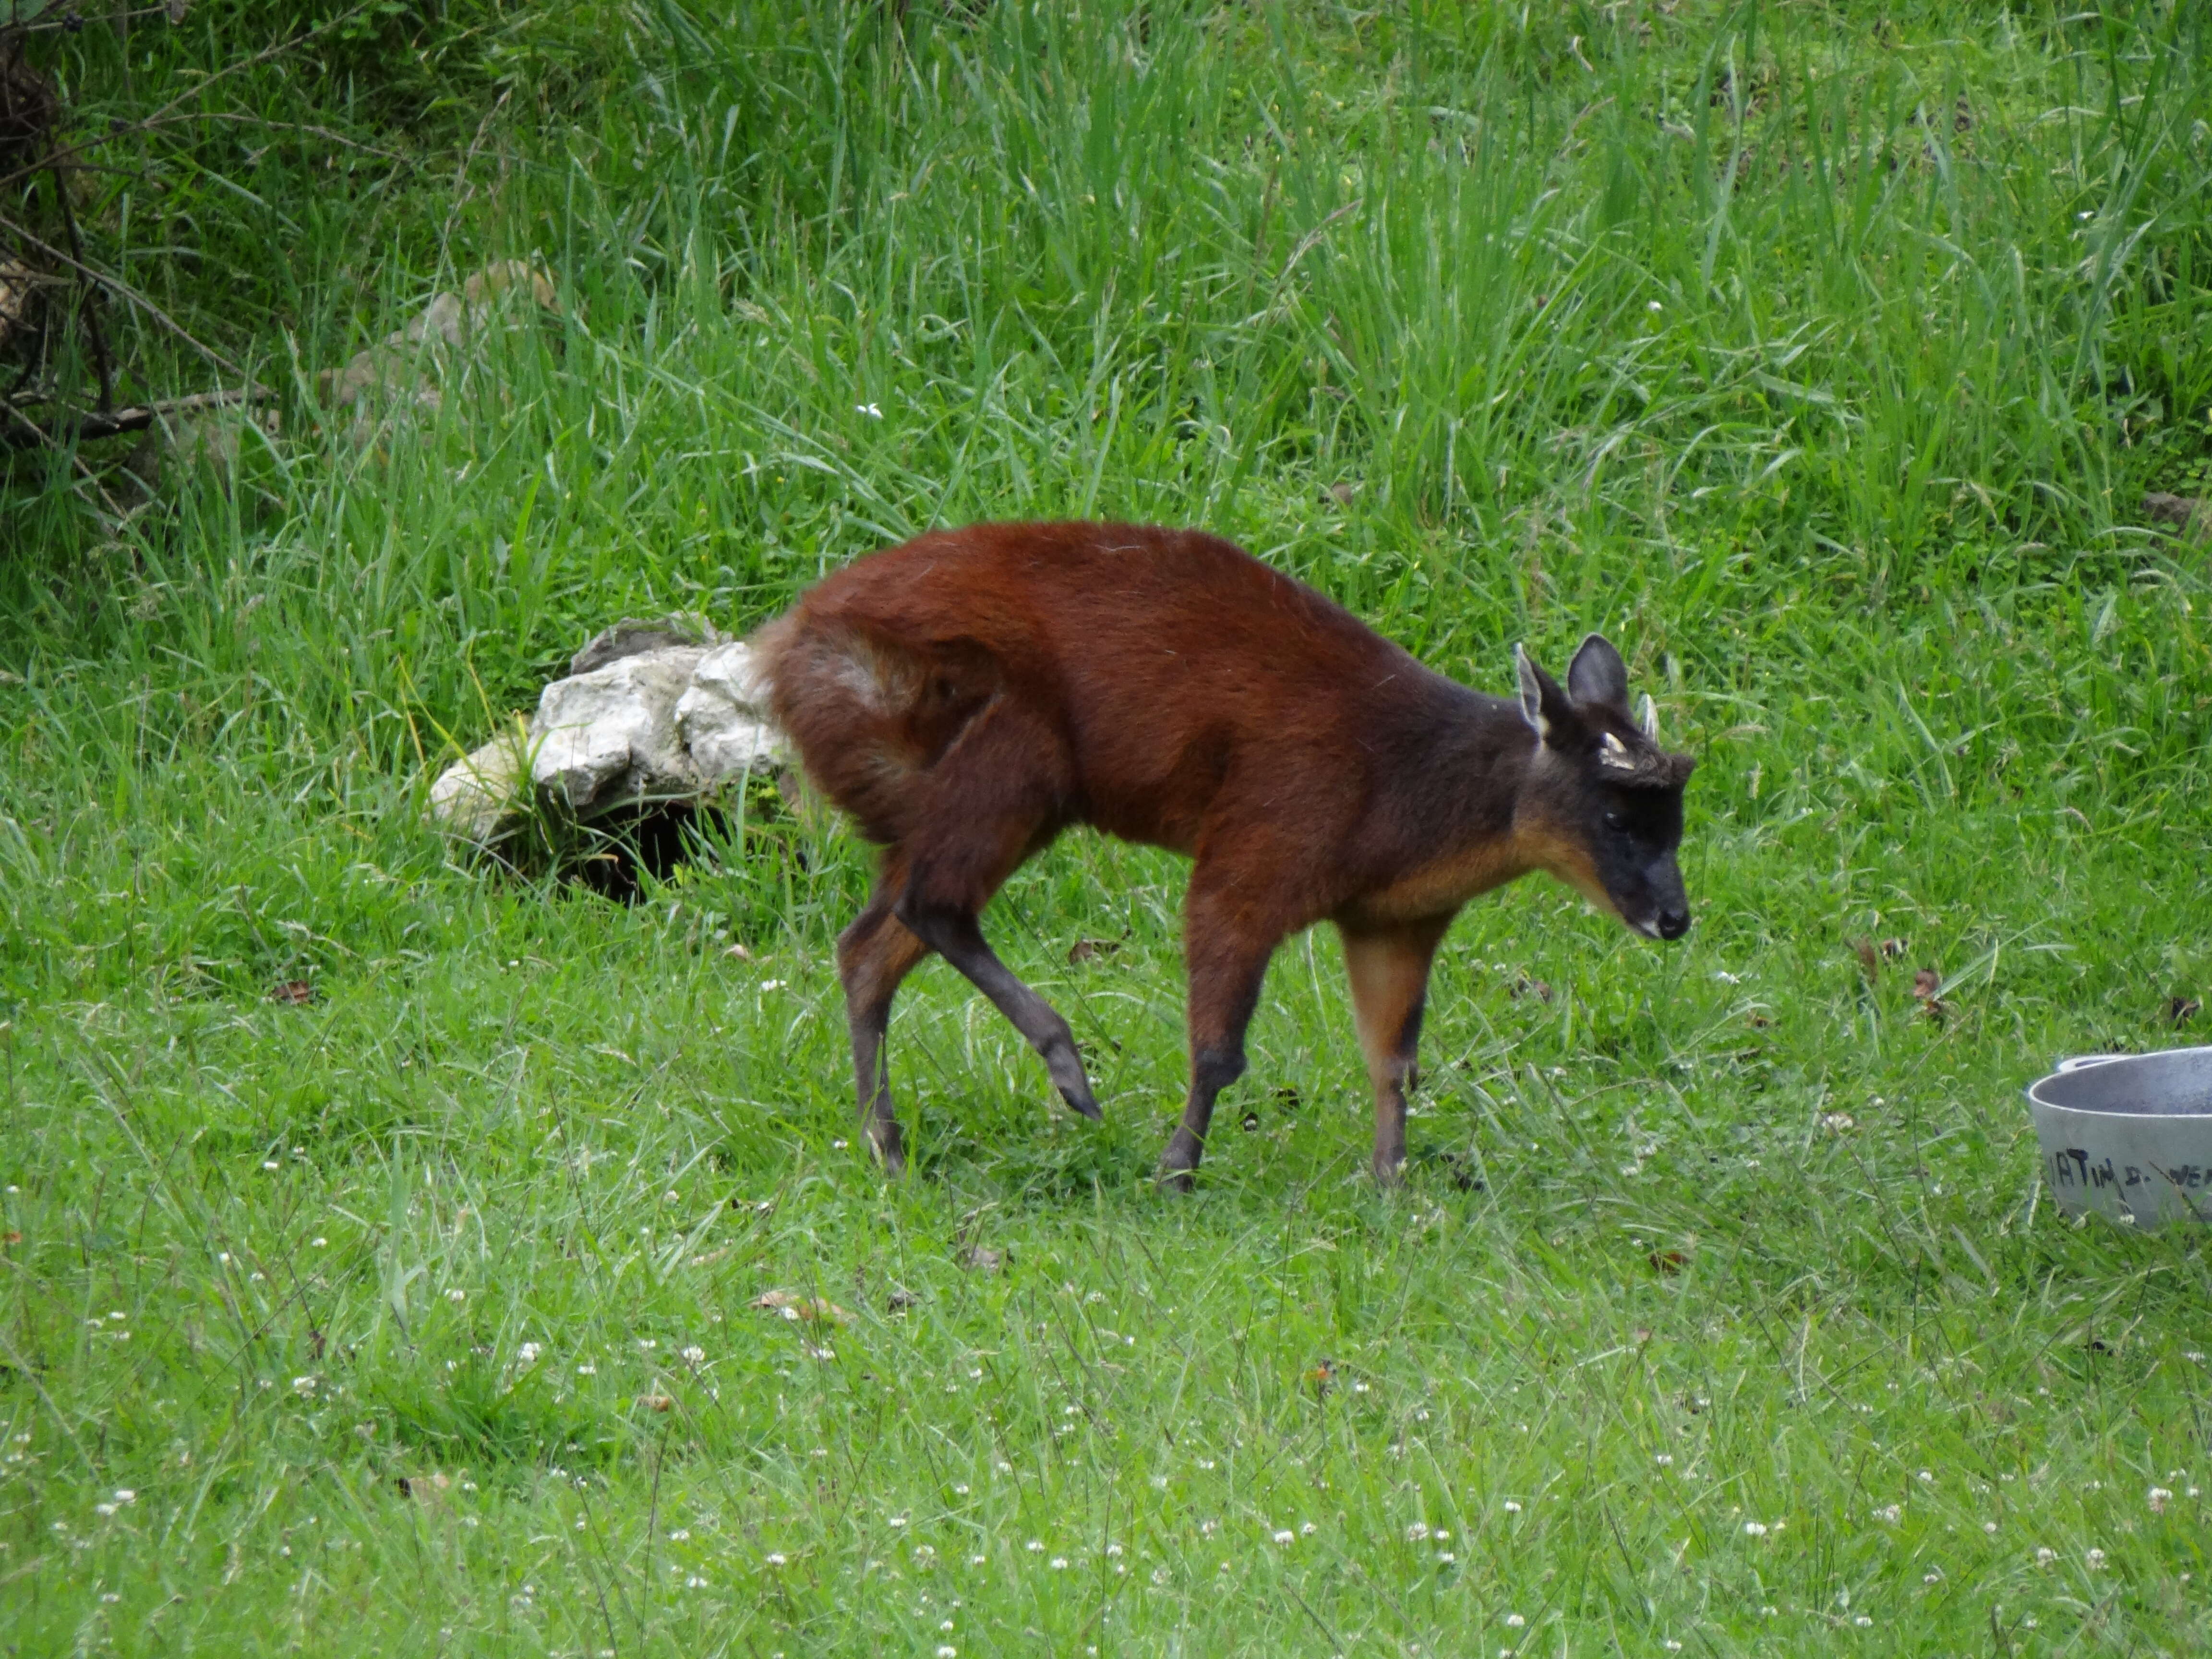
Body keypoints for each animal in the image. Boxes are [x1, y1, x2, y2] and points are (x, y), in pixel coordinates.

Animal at [752, 526, 1698, 1185]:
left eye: (1679, 808)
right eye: (1615, 812)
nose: (1675, 919)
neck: (1405, 788)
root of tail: (779, 645)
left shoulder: (1394, 920)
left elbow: (1394, 1059)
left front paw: (1390, 1182)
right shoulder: (1253, 854)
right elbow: (1219, 1049)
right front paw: (1176, 1169)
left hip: (925, 802)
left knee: (867, 946)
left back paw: (887, 1145)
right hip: (1012, 756)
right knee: (931, 907)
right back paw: (1069, 1075)